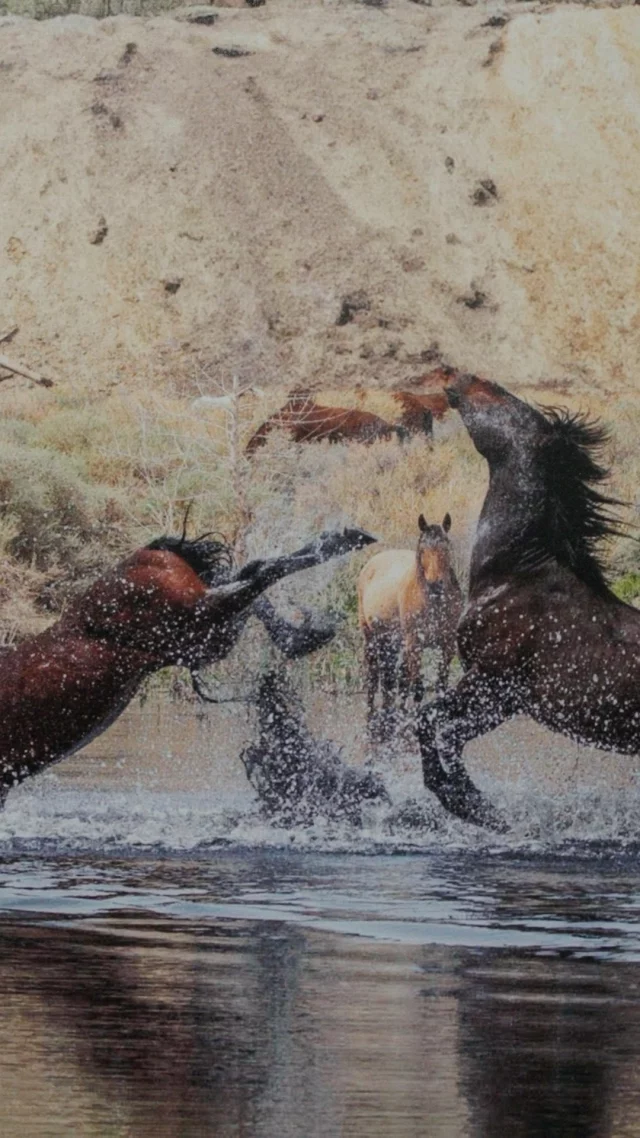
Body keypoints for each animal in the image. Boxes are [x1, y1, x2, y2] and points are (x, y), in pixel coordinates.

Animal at [358, 514, 462, 738]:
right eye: (422, 550)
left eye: (446, 548)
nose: (435, 585)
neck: (433, 601)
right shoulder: (415, 645)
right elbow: (418, 687)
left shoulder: (447, 644)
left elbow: (440, 684)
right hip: (370, 637)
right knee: (374, 676)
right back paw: (372, 717)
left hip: (393, 642)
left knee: (392, 680)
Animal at [417, 372, 640, 832]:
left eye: (502, 397)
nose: (457, 376)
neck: (514, 573)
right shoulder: (505, 698)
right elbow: (443, 730)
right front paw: (474, 805)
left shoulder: (492, 680)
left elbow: (433, 724)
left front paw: (472, 805)